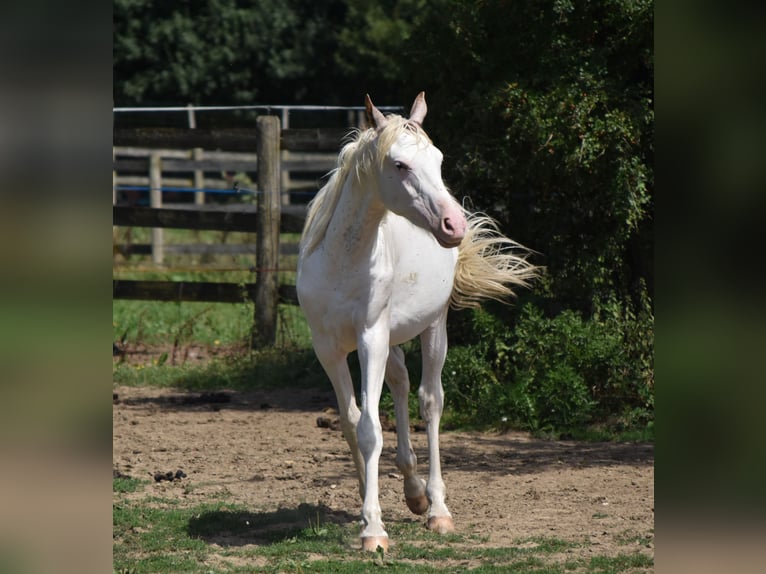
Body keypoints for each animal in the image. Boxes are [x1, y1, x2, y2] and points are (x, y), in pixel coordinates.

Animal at [296, 91, 536, 552]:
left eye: (438, 160)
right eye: (400, 165)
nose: (454, 224)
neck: (342, 261)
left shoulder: (370, 339)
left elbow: (371, 428)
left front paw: (373, 529)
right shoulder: (328, 350)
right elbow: (351, 422)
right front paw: (365, 502)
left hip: (433, 328)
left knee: (430, 400)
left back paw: (436, 508)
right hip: (392, 341)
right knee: (402, 386)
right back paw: (413, 492)